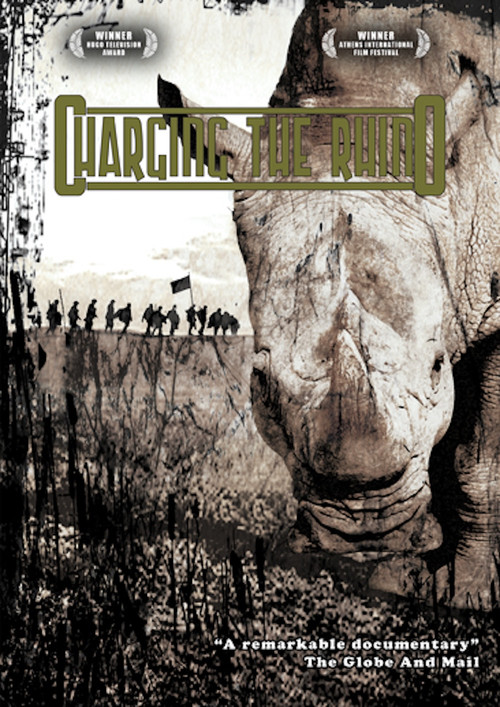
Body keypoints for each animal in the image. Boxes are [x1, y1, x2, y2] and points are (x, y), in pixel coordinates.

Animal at [159, 0, 500, 607]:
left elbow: (475, 457)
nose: (363, 529)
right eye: (260, 382)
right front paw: (399, 581)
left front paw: (469, 597)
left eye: (438, 367)